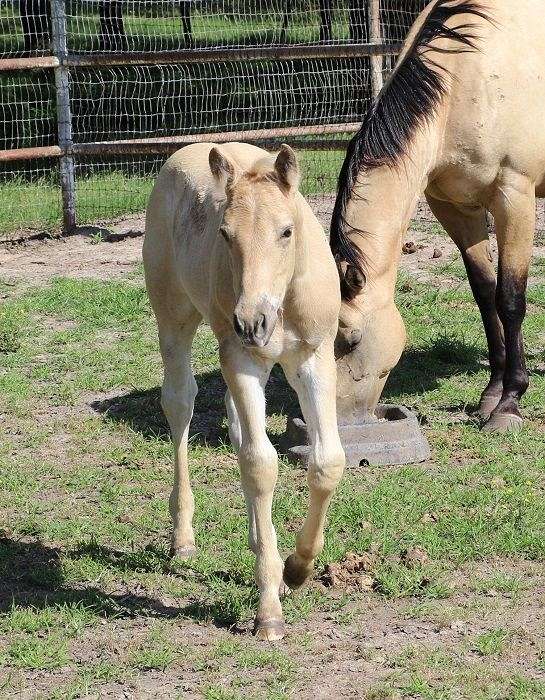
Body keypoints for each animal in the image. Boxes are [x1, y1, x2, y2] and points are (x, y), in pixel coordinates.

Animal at [143, 142, 345, 640]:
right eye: (225, 234)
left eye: (287, 231)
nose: (252, 322)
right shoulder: (241, 358)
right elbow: (260, 464)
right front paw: (269, 609)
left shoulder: (314, 358)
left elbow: (327, 462)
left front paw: (296, 568)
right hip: (175, 320)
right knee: (180, 404)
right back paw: (183, 538)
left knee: (236, 429)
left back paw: (261, 544)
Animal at [330, 0, 545, 432]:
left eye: (352, 340)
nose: (341, 421)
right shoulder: (454, 208)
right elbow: (485, 293)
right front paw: (490, 393)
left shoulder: (515, 197)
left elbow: (511, 298)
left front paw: (509, 403)